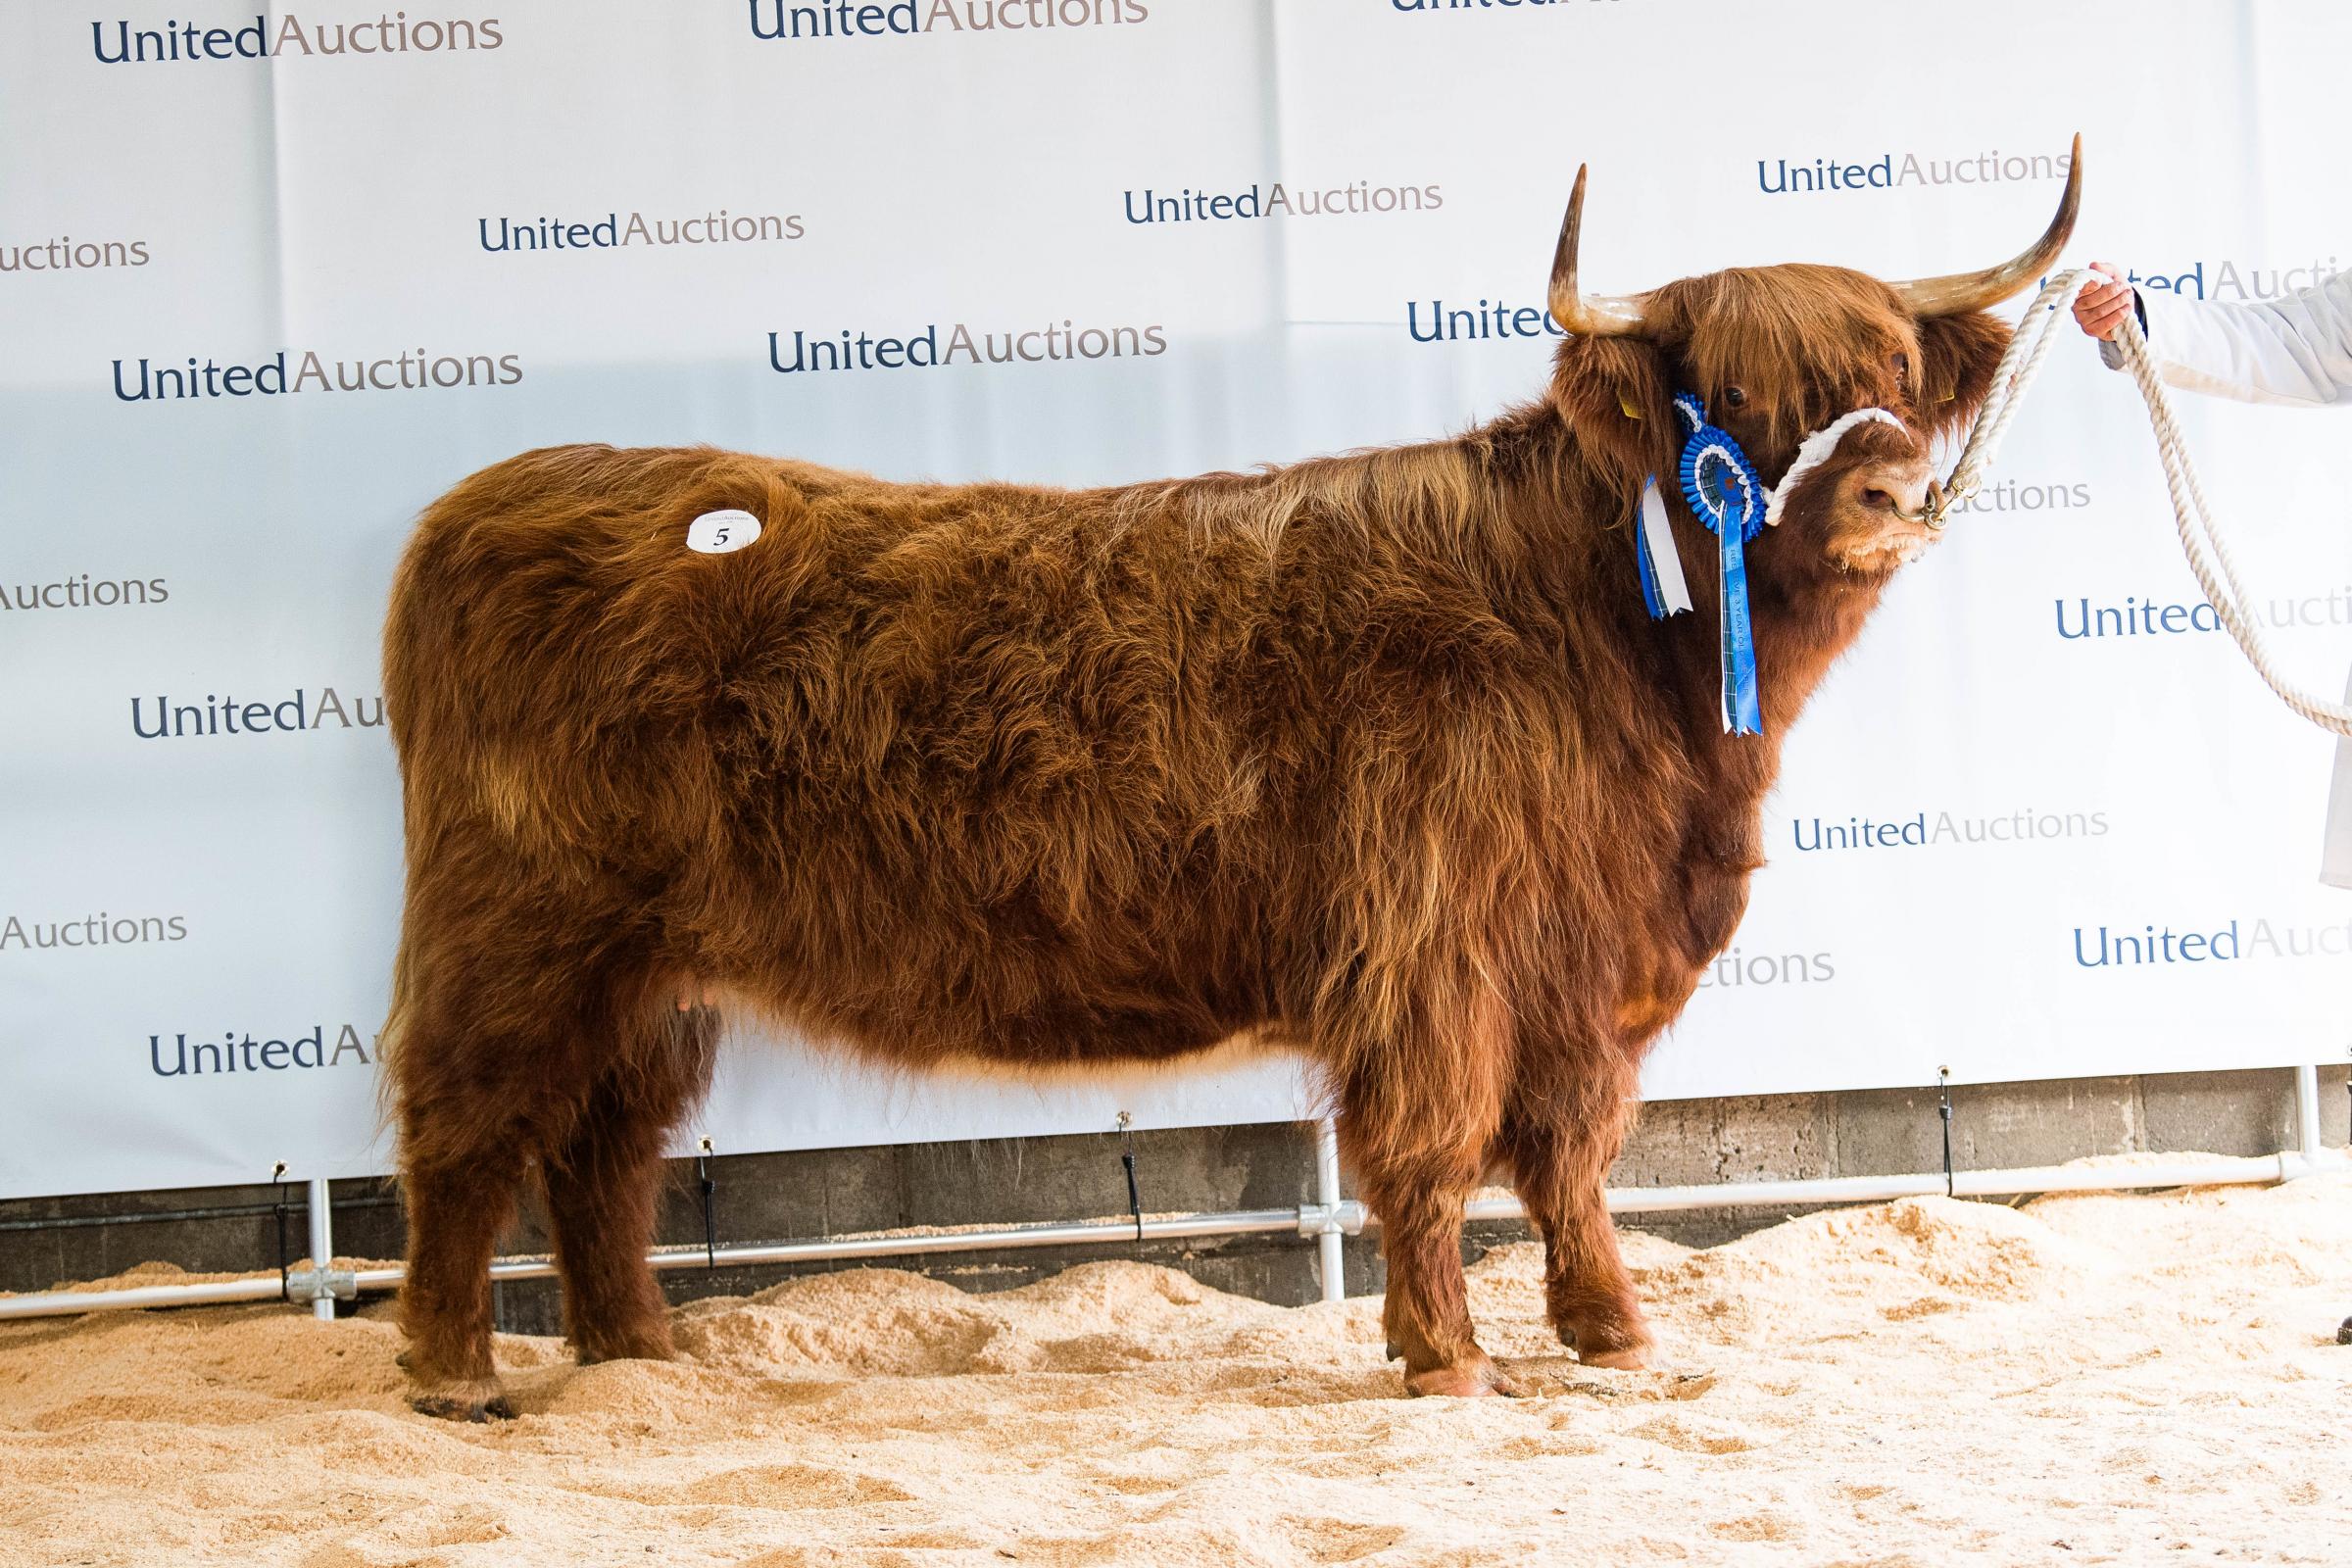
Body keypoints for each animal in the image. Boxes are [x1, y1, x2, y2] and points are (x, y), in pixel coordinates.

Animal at [380, 152, 2079, 1419]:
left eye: (1890, 367)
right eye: (1728, 392)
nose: (1891, 492)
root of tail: (490, 497)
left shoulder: (1579, 954)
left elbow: (1572, 1148)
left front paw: (1611, 1331)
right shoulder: (1434, 946)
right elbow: (1437, 1145)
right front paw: (1446, 1360)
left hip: (647, 969)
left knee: (606, 1142)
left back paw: (638, 1355)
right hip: (516, 934)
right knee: (466, 1124)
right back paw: (456, 1372)